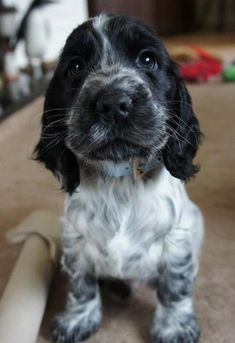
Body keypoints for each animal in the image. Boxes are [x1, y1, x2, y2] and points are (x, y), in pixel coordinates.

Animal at [35, 13, 204, 343]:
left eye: (148, 59)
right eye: (75, 66)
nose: (113, 103)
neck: (120, 180)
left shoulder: (177, 238)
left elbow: (174, 286)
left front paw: (174, 327)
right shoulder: (74, 240)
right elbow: (80, 285)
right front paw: (77, 320)